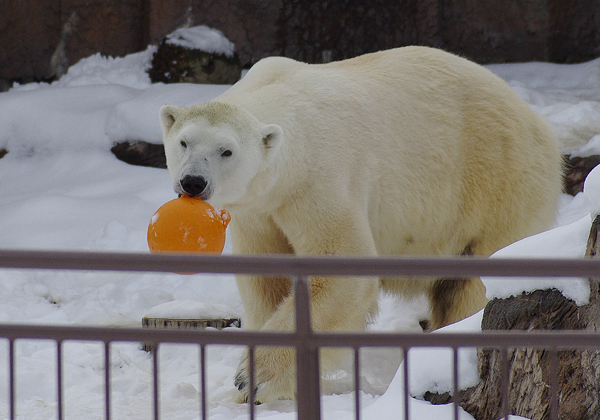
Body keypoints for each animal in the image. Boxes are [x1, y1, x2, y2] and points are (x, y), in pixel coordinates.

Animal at [158, 46, 564, 404]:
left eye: (226, 151)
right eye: (184, 142)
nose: (193, 182)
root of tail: (536, 122)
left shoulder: (319, 181)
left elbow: (342, 268)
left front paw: (253, 378)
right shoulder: (259, 211)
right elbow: (267, 278)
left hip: (497, 184)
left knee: (475, 278)